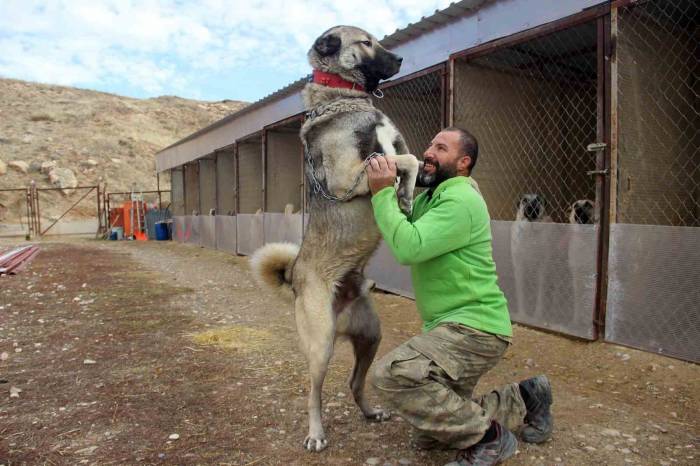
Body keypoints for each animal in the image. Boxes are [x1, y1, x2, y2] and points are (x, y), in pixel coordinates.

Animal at [250, 26, 418, 452]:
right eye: (366, 42)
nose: (401, 60)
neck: (343, 96)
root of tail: (294, 276)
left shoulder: (396, 148)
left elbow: (416, 160)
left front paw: (408, 196)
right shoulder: (351, 176)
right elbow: (405, 162)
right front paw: (405, 194)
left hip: (372, 337)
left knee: (354, 382)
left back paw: (371, 412)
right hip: (321, 344)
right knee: (314, 393)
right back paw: (316, 433)